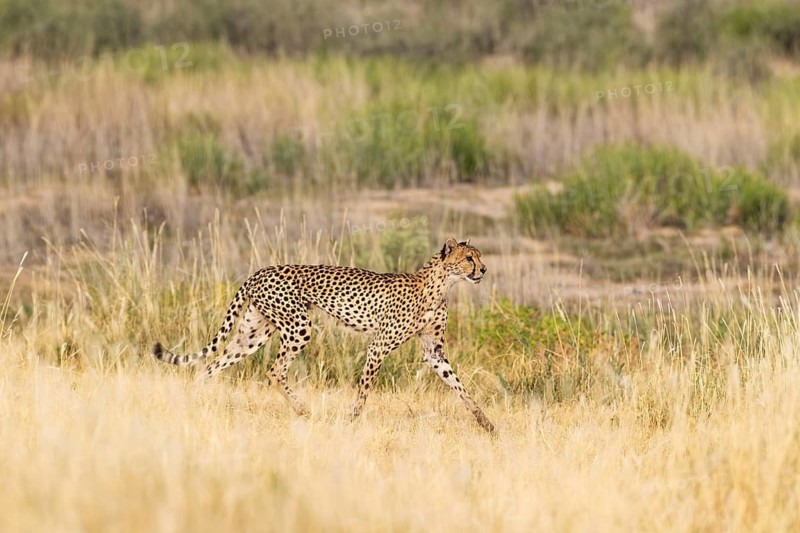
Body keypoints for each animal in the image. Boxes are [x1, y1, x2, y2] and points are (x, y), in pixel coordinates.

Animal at [152, 237, 495, 434]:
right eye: (469, 258)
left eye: (478, 256)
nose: (484, 270)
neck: (440, 285)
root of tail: (260, 271)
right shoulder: (378, 346)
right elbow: (364, 390)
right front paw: (352, 421)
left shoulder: (433, 351)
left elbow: (460, 386)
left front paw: (486, 423)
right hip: (298, 327)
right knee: (274, 370)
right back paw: (303, 410)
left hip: (254, 332)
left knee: (212, 365)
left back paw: (193, 402)